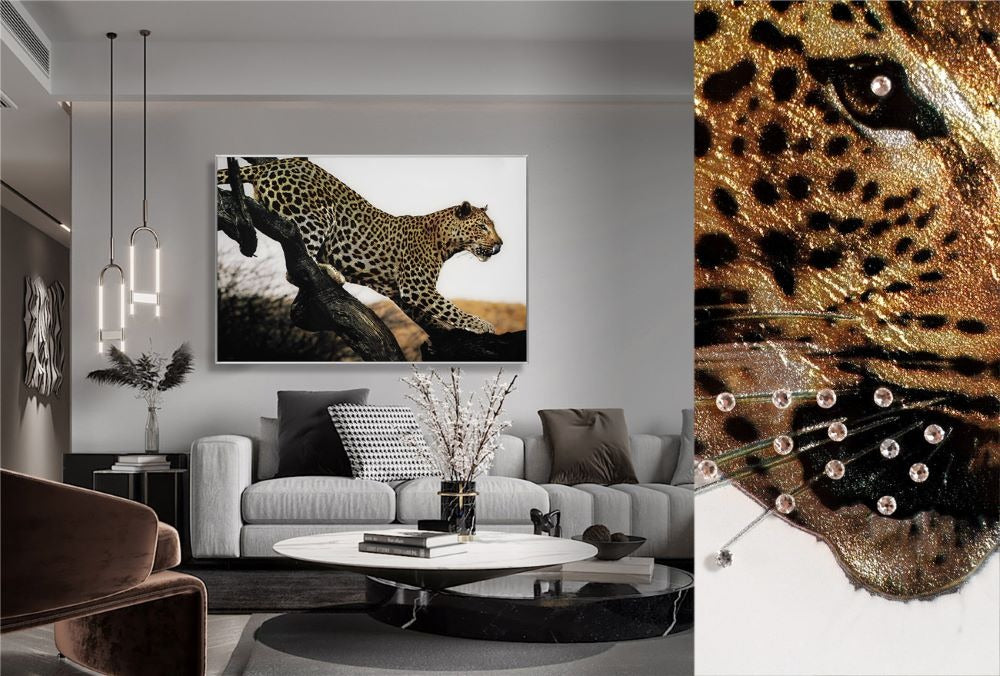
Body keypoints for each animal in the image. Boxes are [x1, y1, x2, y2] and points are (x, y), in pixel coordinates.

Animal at [217, 156, 503, 334]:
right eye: (482, 227)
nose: (500, 245)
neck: (445, 242)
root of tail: (275, 164)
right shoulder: (416, 287)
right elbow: (452, 309)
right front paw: (485, 326)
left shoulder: (402, 292)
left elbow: (437, 314)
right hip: (316, 216)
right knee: (296, 264)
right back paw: (332, 272)